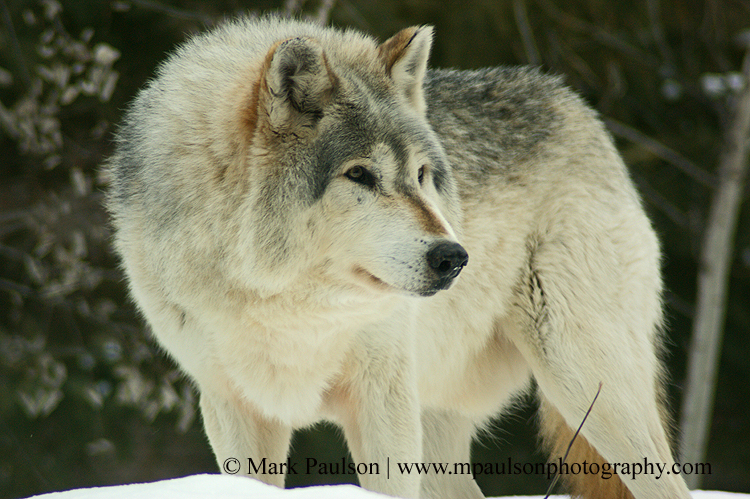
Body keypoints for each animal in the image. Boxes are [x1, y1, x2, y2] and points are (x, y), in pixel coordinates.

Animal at [106, 15, 692, 499]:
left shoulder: (382, 401)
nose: (455, 257)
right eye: (360, 175)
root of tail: (571, 99)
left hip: (589, 385)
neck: (287, 300)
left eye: (421, 176)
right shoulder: (233, 406)